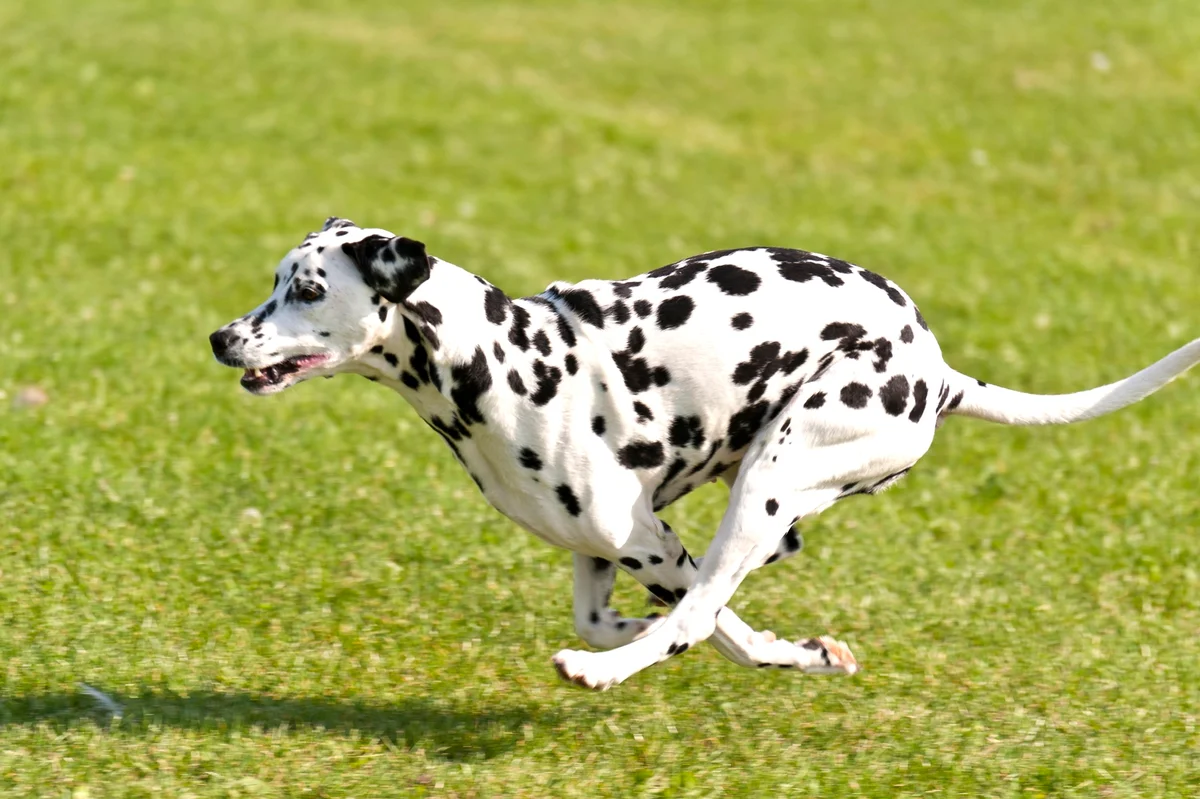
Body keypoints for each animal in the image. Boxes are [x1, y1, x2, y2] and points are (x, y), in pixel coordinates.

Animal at [208, 215, 1200, 686]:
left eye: (306, 290)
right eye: (276, 280)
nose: (221, 338)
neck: (497, 360)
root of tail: (939, 368)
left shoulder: (647, 538)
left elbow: (707, 624)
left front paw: (749, 648)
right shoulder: (606, 547)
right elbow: (619, 614)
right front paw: (786, 646)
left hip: (767, 481)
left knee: (698, 613)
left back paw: (603, 674)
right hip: (766, 492)